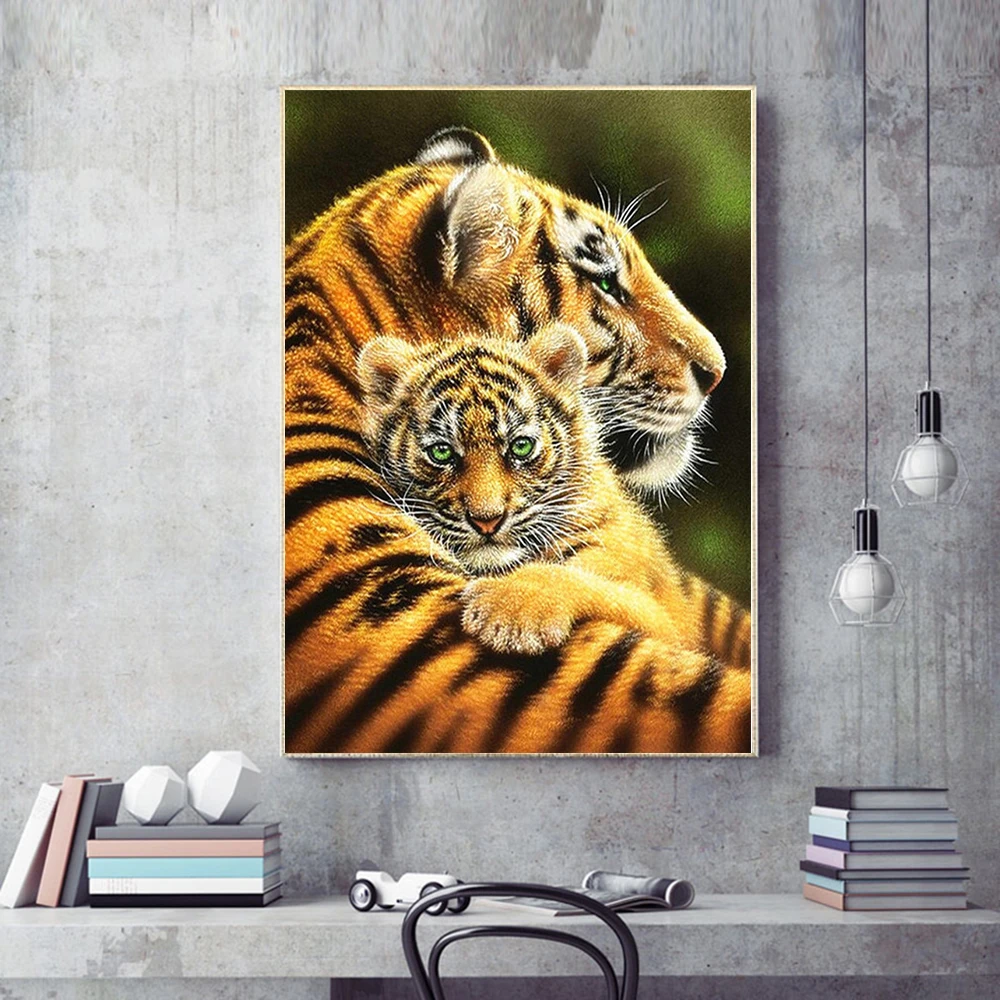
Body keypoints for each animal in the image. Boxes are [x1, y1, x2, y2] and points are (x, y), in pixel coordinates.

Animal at [357, 322, 744, 672]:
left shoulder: (662, 618)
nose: (487, 521)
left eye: (521, 447)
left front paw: (510, 614)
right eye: (441, 453)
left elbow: (584, 581)